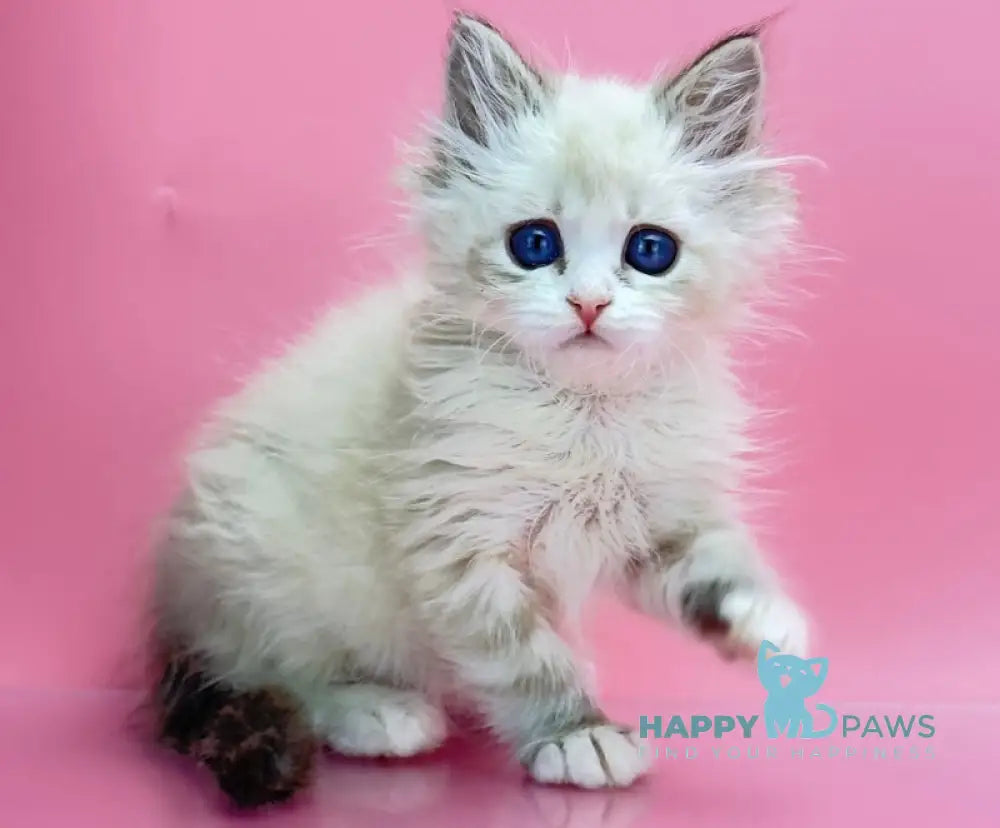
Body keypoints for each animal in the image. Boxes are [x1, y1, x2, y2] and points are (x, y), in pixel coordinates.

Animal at [154, 9, 812, 804]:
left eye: (650, 250)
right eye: (535, 244)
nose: (589, 304)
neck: (585, 417)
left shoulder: (656, 517)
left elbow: (713, 563)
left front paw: (766, 620)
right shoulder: (460, 541)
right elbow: (527, 661)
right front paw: (578, 735)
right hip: (269, 575)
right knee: (278, 675)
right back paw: (381, 712)